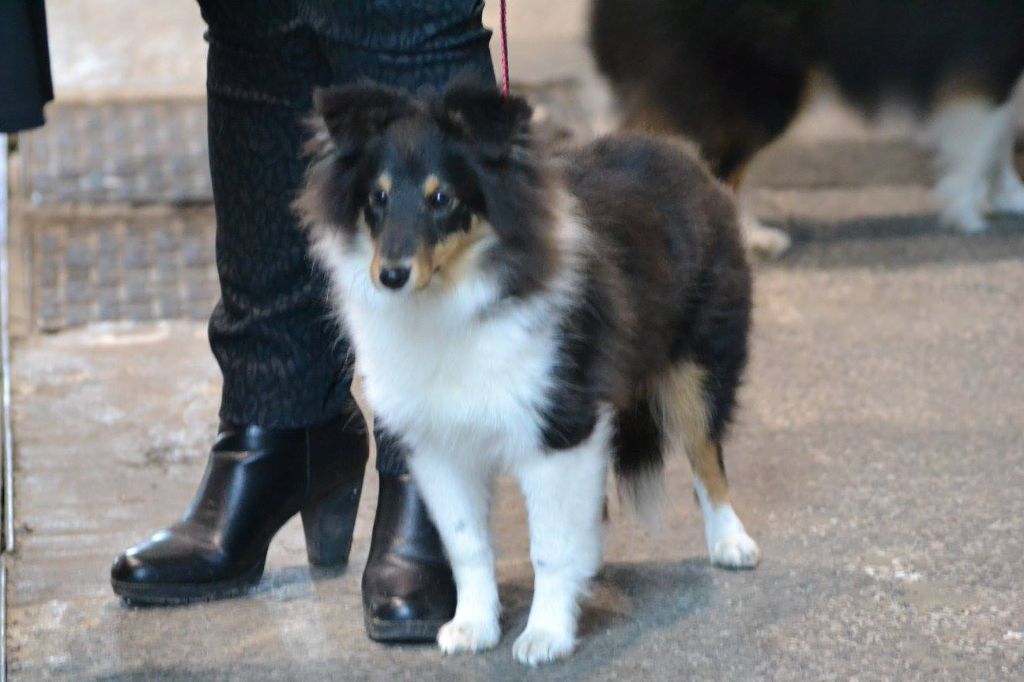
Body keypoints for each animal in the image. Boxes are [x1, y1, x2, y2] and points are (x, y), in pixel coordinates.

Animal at [296, 80, 761, 663]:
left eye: (442, 198)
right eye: (377, 198)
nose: (391, 275)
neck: (454, 300)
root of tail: (677, 151)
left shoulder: (559, 427)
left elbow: (549, 547)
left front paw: (545, 635)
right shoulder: (438, 443)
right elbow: (466, 541)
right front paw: (473, 626)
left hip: (698, 362)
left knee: (705, 453)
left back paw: (731, 541)